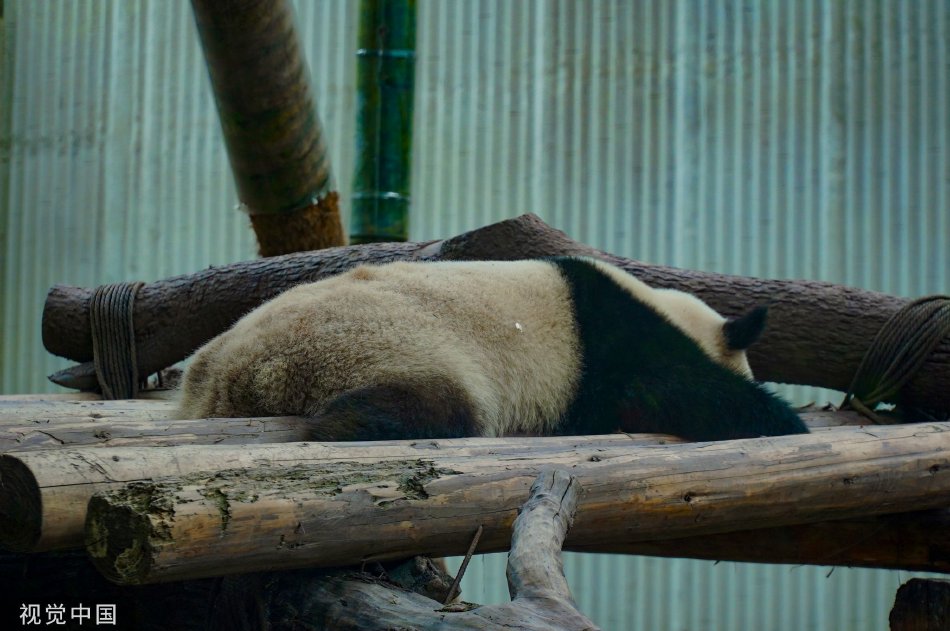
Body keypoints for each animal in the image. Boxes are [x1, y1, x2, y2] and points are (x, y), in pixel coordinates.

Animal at [178, 254, 812, 442]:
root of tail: (230, 378)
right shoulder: (616, 343)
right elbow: (669, 391)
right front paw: (782, 419)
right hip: (372, 344)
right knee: (439, 407)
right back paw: (343, 425)